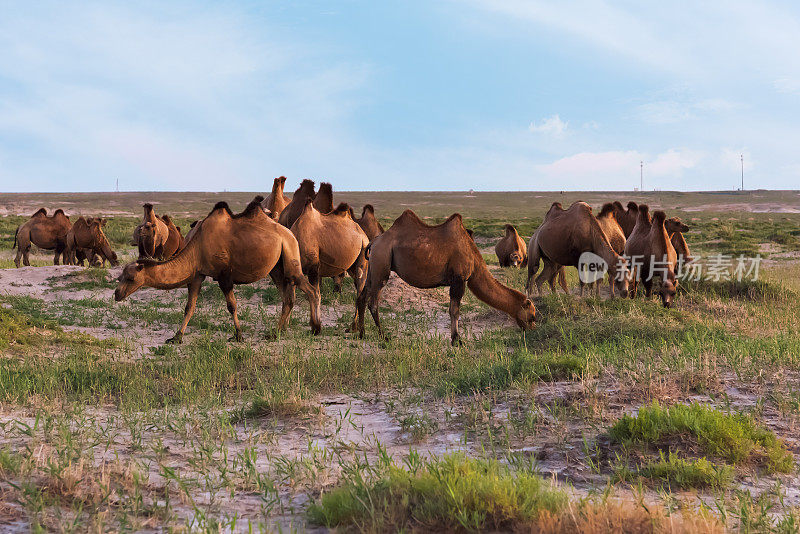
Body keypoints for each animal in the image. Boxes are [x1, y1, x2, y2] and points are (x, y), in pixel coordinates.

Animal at [115, 197, 322, 344]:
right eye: (120, 277)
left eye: (131, 278)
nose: (117, 294)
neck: (198, 246)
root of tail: (289, 233)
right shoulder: (197, 274)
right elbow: (189, 307)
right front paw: (176, 337)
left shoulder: (224, 276)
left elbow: (232, 306)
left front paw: (238, 335)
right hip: (276, 267)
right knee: (288, 297)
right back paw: (279, 331)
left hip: (290, 254)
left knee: (310, 290)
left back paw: (314, 328)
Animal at [354, 210, 536, 348]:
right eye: (532, 315)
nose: (532, 329)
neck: (475, 260)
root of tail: (373, 242)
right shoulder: (459, 279)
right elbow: (454, 311)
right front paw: (457, 340)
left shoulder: (458, 280)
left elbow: (452, 310)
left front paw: (455, 339)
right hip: (382, 264)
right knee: (373, 302)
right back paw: (383, 336)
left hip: (373, 268)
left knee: (362, 296)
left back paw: (362, 333)